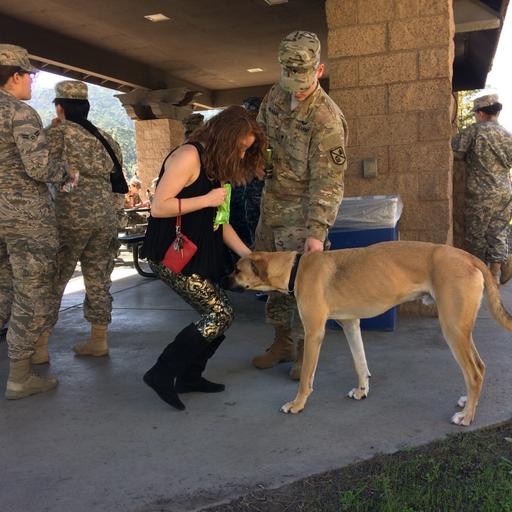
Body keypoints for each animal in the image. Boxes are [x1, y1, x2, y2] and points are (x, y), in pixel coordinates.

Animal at [225, 241, 512, 426]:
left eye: (237, 269)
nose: (223, 280)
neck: (296, 269)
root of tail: (469, 257)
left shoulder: (315, 332)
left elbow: (307, 376)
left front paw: (297, 404)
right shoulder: (351, 324)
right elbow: (359, 362)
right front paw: (362, 390)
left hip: (452, 328)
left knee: (474, 372)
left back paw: (467, 417)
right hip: (461, 328)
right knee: (480, 367)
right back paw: (469, 403)